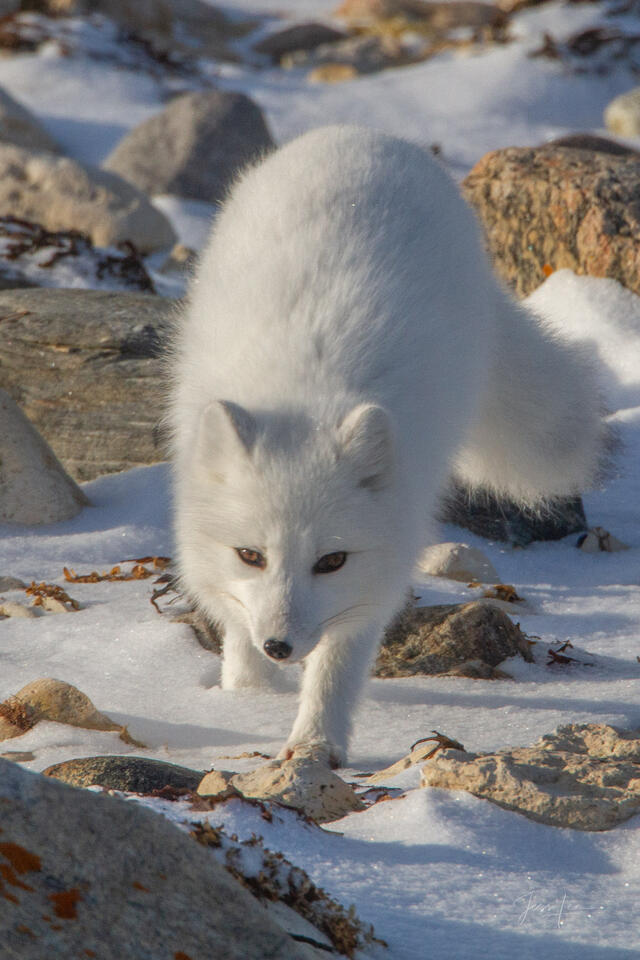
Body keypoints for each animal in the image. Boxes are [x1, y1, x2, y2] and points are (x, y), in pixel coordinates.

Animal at [168, 125, 605, 767]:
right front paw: (245, 699)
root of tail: (364, 132)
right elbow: (236, 626)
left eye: (331, 561)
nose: (279, 646)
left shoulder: (374, 573)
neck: (307, 392)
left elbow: (338, 666)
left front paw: (315, 745)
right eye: (250, 555)